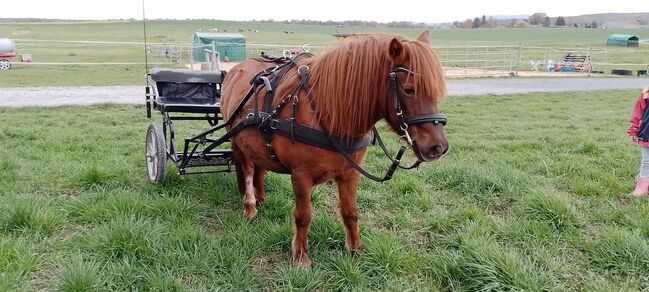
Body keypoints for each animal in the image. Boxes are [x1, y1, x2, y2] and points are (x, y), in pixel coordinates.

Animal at [220, 30, 448, 266]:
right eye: (409, 89)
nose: (438, 147)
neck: (327, 113)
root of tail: (236, 69)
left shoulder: (350, 174)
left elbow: (350, 213)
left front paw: (355, 250)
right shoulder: (301, 176)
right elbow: (303, 215)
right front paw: (301, 256)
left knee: (260, 168)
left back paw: (260, 197)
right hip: (238, 143)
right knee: (248, 171)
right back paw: (250, 206)